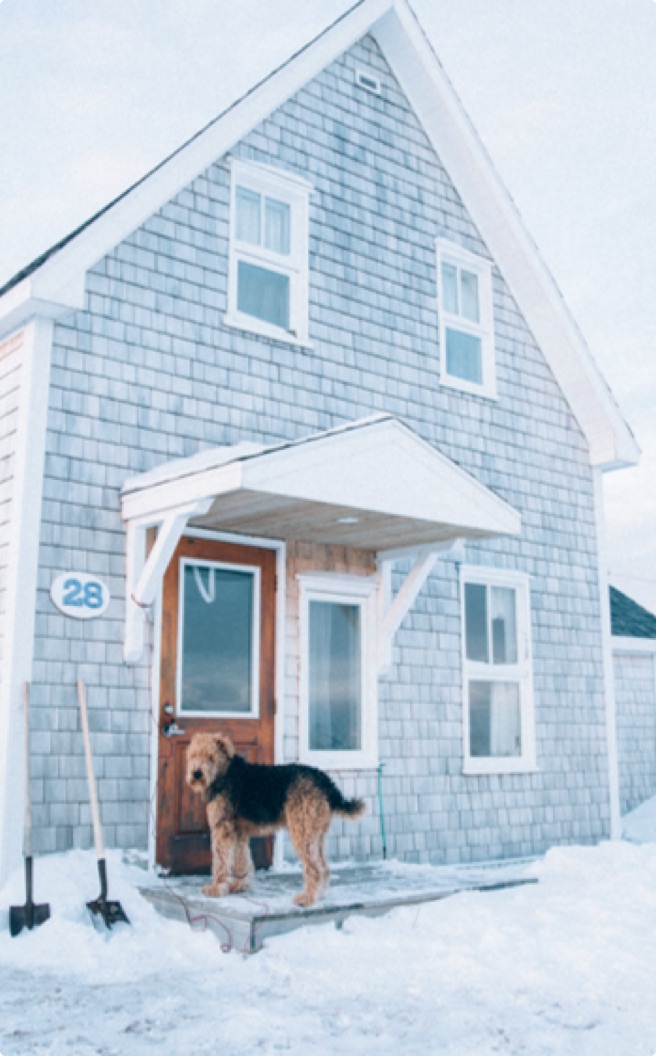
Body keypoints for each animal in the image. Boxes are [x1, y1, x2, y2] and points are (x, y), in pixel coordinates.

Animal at [186, 734, 365, 908]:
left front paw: (216, 888)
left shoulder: (222, 828)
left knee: (315, 869)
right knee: (324, 867)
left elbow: (220, 862)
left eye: (210, 757)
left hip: (303, 832)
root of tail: (327, 783)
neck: (225, 774)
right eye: (193, 755)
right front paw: (240, 885)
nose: (196, 774)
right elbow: (242, 860)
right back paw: (318, 896)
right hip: (316, 834)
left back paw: (306, 898)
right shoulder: (238, 832)